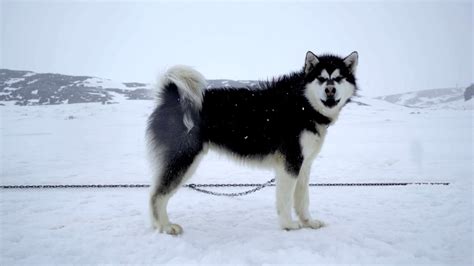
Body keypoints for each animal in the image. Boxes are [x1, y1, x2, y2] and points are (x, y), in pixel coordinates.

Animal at [146, 51, 358, 235]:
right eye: (321, 78)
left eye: (338, 78)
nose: (330, 90)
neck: (303, 104)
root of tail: (172, 97)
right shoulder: (290, 163)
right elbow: (285, 198)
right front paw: (288, 225)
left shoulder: (303, 164)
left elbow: (303, 199)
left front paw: (309, 222)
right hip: (184, 158)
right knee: (157, 195)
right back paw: (165, 226)